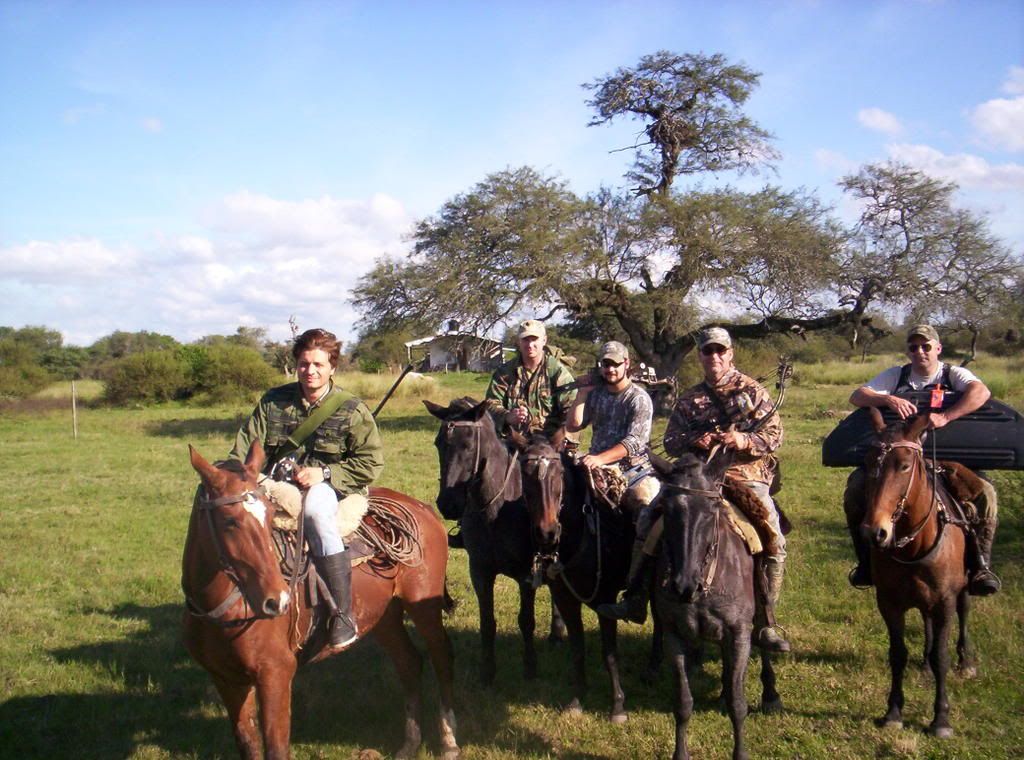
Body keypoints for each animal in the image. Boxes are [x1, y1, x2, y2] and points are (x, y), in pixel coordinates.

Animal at [182, 441, 459, 760]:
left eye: (269, 513)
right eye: (229, 521)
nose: (277, 601)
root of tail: (422, 509)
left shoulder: (275, 675)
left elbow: (276, 748)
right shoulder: (227, 681)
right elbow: (248, 744)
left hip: (423, 605)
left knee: (441, 656)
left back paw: (449, 740)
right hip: (383, 615)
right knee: (409, 662)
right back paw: (410, 744)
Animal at [424, 397, 563, 685]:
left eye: (468, 445)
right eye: (438, 443)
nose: (448, 503)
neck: (496, 507)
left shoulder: (526, 575)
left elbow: (526, 621)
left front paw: (530, 668)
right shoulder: (480, 571)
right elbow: (487, 622)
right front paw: (487, 672)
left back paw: (557, 632)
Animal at [511, 432, 636, 722]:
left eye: (558, 474)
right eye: (525, 475)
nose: (546, 533)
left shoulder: (606, 599)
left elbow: (609, 653)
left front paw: (618, 706)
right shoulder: (565, 598)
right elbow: (577, 649)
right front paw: (577, 699)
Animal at [651, 452, 782, 760]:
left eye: (711, 510)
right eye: (666, 509)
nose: (683, 585)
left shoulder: (739, 634)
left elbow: (738, 704)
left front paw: (741, 753)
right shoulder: (673, 634)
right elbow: (683, 702)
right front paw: (680, 754)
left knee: (764, 638)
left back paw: (770, 693)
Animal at [860, 408, 974, 738]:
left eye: (904, 465)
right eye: (868, 462)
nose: (875, 533)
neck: (913, 547)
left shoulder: (945, 602)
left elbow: (942, 657)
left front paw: (941, 719)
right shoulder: (889, 603)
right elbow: (897, 654)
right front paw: (893, 712)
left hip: (962, 589)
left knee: (964, 612)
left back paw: (966, 661)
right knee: (926, 624)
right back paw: (923, 663)